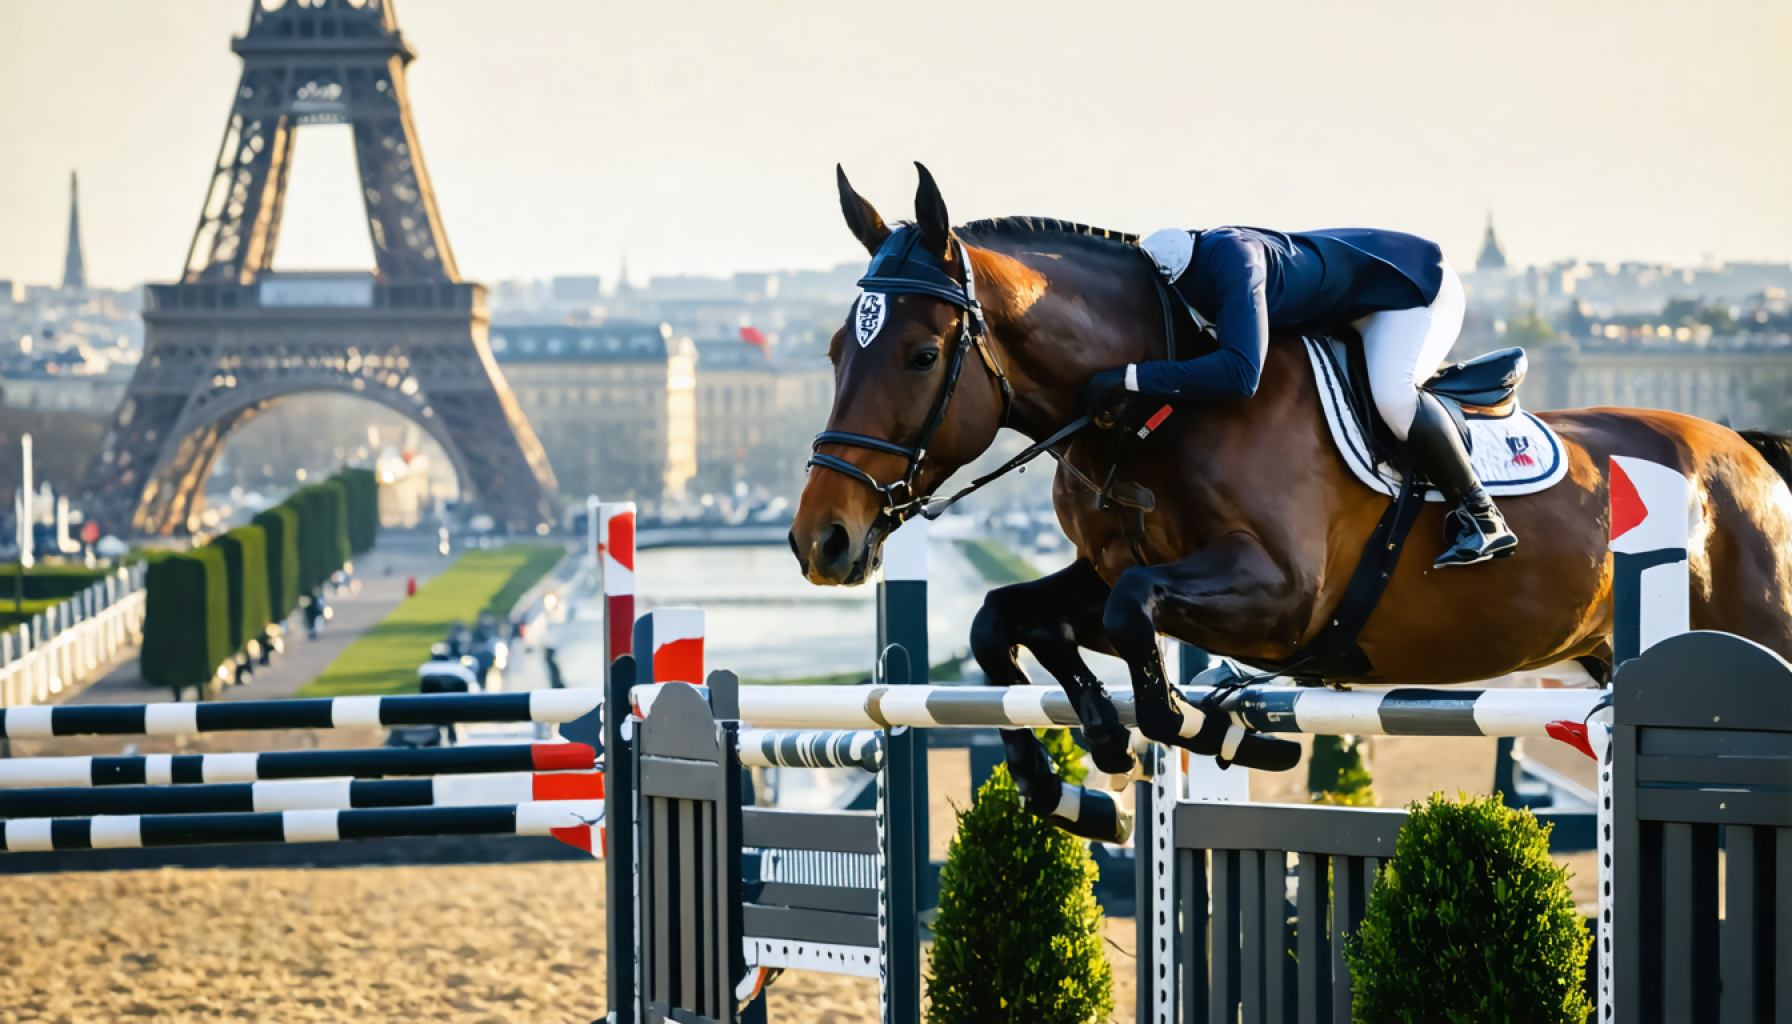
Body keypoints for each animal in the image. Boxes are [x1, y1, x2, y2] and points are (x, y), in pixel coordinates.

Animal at [792, 164, 1792, 842]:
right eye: (837, 348)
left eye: (922, 354)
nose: (820, 540)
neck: (1159, 404)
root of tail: (1749, 453)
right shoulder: (1109, 568)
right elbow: (1007, 621)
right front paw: (1086, 779)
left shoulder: (1281, 596)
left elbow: (1133, 625)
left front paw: (1221, 730)